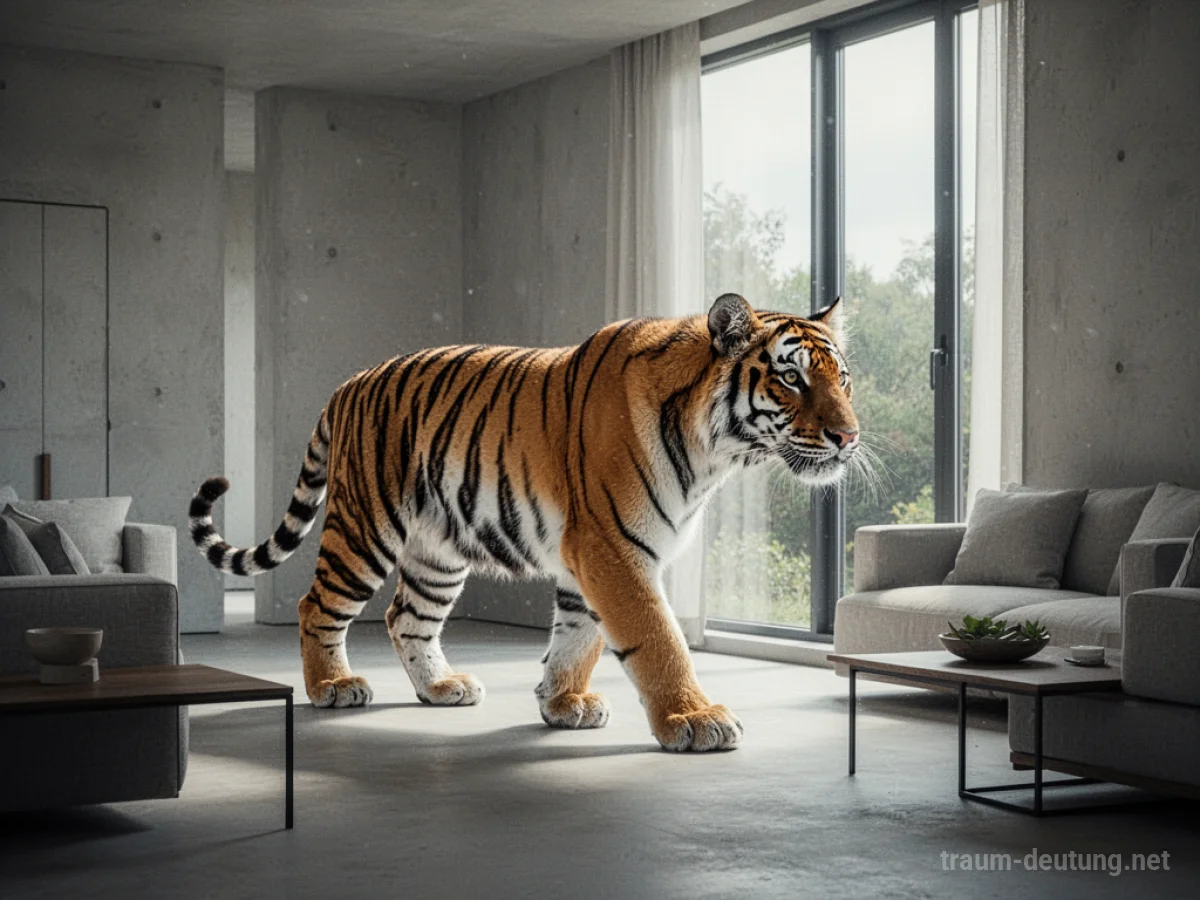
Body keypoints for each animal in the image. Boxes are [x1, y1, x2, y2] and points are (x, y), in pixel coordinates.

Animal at [189, 293, 859, 752]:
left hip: (437, 551)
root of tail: (348, 384)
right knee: (318, 604)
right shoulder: (612, 546)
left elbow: (578, 636)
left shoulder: (593, 554)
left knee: (406, 616)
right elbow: (657, 638)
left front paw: (563, 702)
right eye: (791, 378)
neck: (715, 454)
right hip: (365, 528)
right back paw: (332, 687)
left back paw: (440, 689)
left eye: (843, 380)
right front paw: (694, 720)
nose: (849, 437)